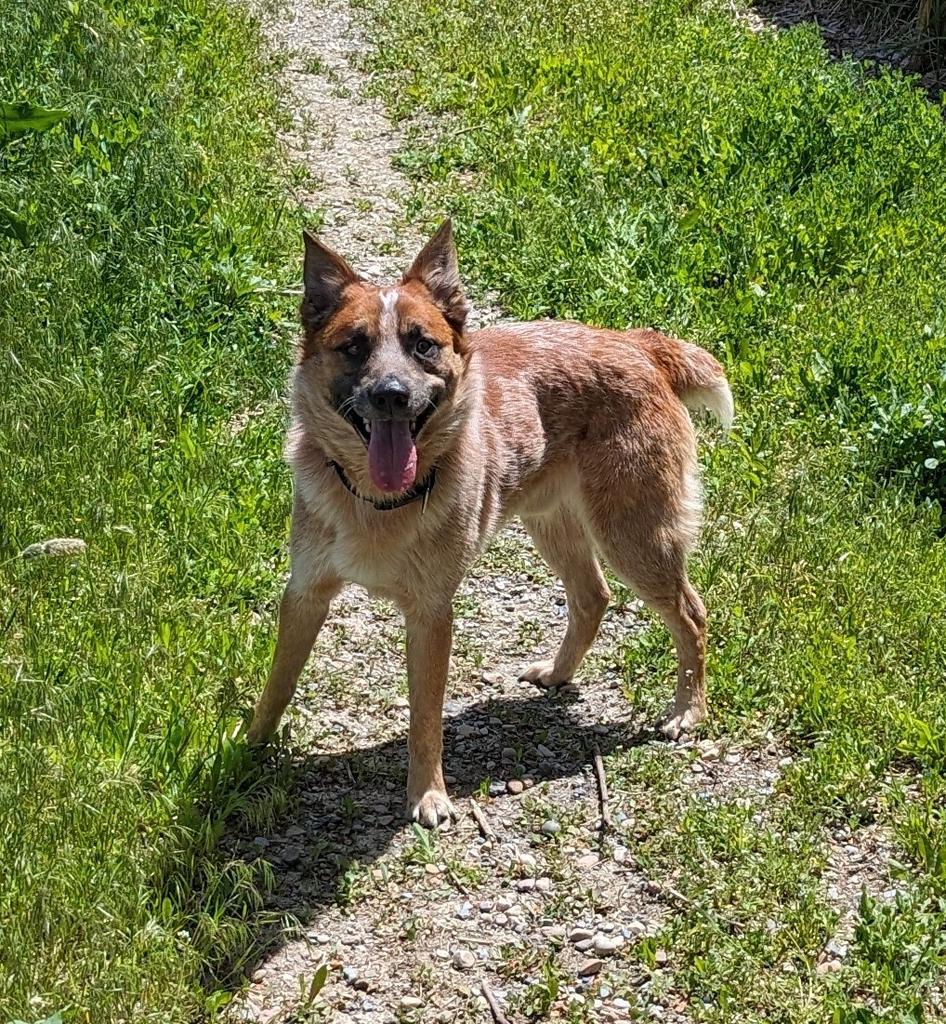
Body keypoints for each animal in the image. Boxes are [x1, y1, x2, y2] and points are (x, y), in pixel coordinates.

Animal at [249, 220, 733, 827]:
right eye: (354, 346)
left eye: (423, 344)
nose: (391, 395)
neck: (378, 500)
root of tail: (638, 343)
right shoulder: (305, 593)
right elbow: (278, 681)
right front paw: (246, 751)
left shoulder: (431, 614)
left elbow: (425, 718)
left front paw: (428, 795)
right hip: (554, 525)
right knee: (593, 596)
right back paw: (558, 673)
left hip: (635, 536)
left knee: (691, 614)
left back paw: (688, 711)